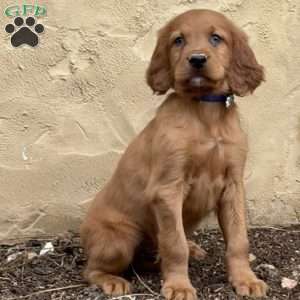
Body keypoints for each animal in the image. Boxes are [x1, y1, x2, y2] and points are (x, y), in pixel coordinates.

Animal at [81, 8, 268, 298]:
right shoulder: (168, 188)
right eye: (178, 40)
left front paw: (246, 279)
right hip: (119, 240)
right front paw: (179, 286)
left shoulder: (233, 186)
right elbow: (174, 244)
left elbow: (239, 240)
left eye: (216, 38)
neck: (205, 111)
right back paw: (112, 280)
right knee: (91, 269)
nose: (197, 59)